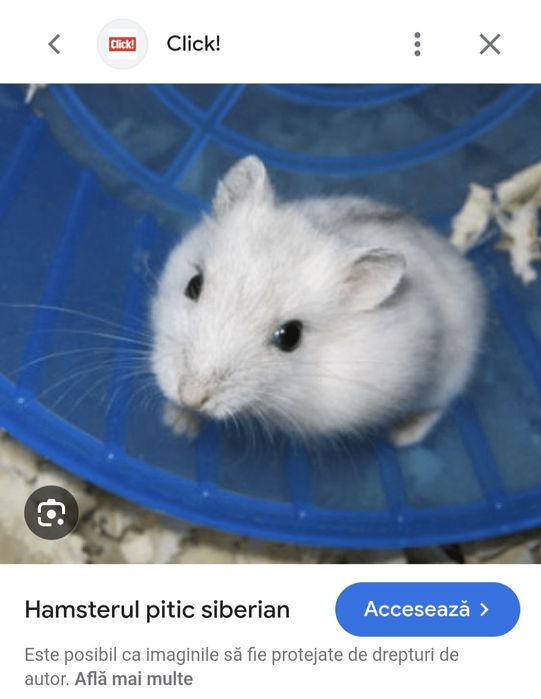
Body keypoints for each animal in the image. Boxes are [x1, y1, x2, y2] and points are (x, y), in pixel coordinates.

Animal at [151, 156, 485, 447]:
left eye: (290, 336)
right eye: (193, 286)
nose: (191, 396)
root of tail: (451, 249)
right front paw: (176, 423)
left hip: (450, 374)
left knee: (435, 409)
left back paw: (403, 436)